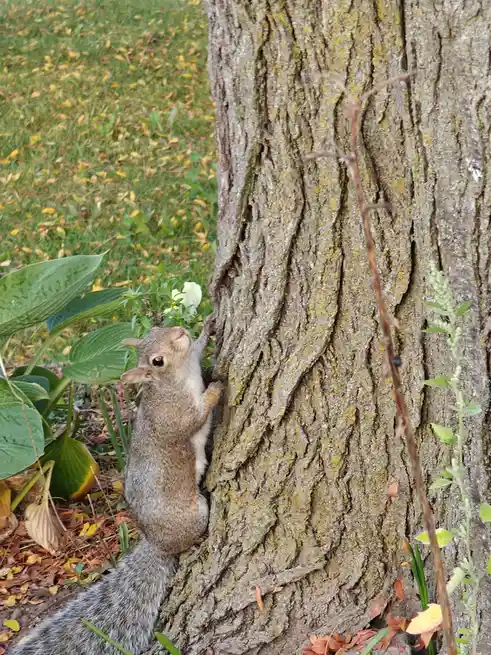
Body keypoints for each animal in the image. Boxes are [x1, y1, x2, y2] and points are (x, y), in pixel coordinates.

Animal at [11, 320, 223, 655]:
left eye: (158, 328)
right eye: (156, 362)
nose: (178, 331)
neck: (180, 374)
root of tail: (157, 544)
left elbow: (199, 347)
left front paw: (206, 328)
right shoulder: (172, 416)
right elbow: (193, 419)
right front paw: (214, 390)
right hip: (195, 513)